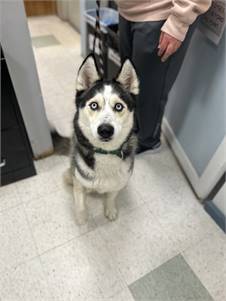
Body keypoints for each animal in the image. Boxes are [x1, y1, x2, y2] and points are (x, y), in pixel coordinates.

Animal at [66, 53, 139, 223]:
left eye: (118, 106)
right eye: (94, 105)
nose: (105, 130)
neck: (105, 153)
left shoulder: (118, 182)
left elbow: (111, 196)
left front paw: (110, 210)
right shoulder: (79, 181)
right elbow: (80, 202)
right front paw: (82, 218)